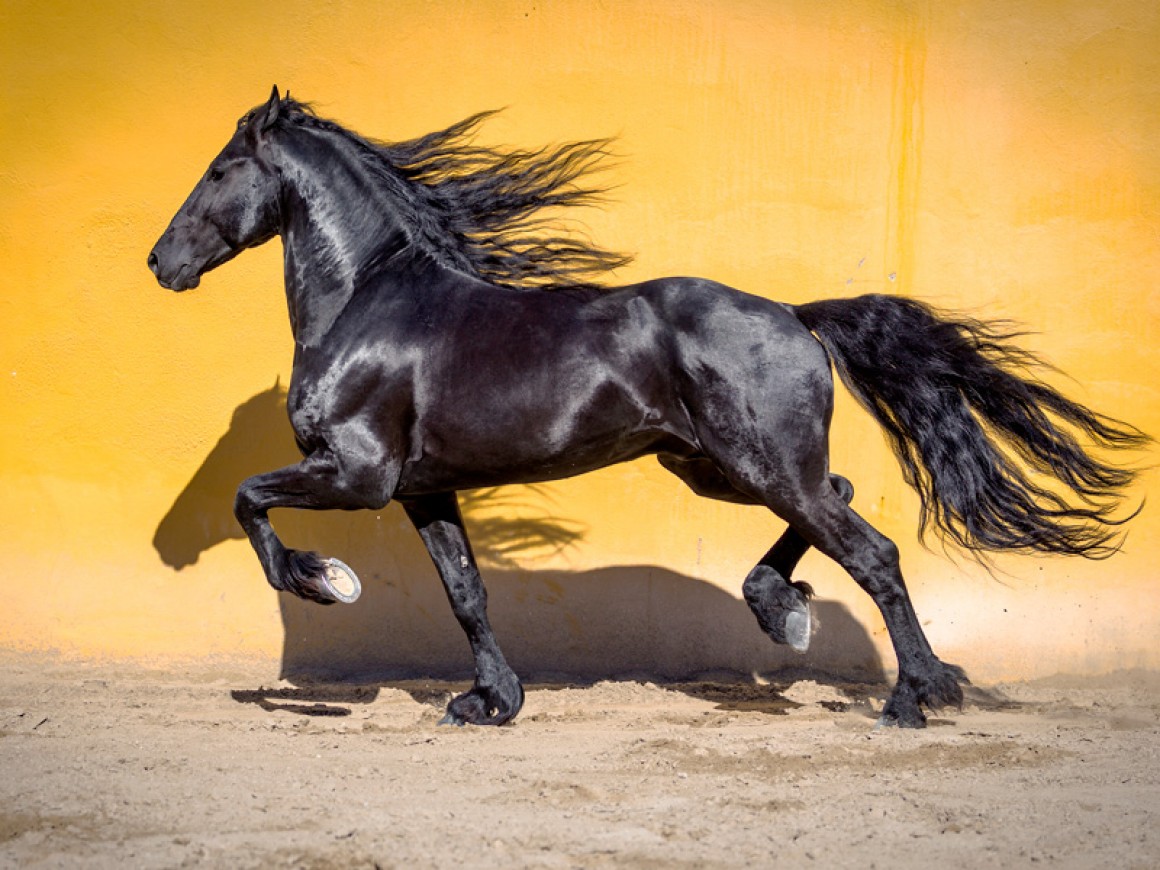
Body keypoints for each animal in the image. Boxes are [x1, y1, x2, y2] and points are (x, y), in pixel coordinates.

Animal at [149, 87, 1147, 729]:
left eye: (218, 170)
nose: (161, 264)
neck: (370, 302)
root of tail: (796, 315)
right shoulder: (423, 489)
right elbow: (466, 593)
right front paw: (491, 703)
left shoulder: (356, 476)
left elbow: (249, 502)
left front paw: (326, 580)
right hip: (719, 466)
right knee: (842, 500)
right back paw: (782, 610)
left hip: (757, 466)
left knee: (872, 551)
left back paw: (916, 696)